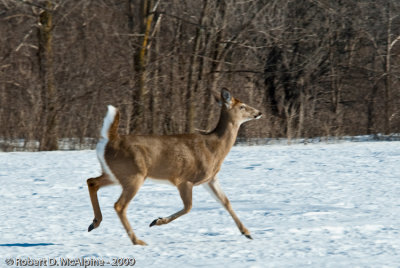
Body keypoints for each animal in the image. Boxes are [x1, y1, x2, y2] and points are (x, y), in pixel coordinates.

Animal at [86, 88, 262, 245]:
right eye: (242, 106)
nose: (259, 112)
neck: (214, 148)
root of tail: (110, 140)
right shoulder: (184, 179)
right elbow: (189, 207)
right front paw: (156, 221)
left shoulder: (210, 179)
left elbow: (226, 202)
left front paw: (247, 232)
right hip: (134, 174)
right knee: (119, 205)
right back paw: (137, 241)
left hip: (116, 173)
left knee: (92, 181)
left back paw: (95, 222)